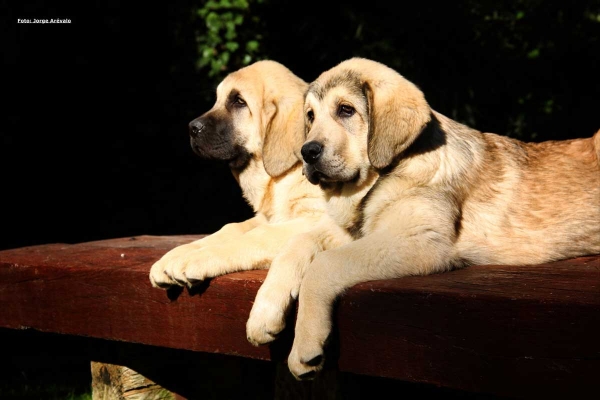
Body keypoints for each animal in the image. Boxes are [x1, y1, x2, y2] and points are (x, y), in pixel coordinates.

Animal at [150, 60, 328, 288]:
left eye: (239, 102)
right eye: (218, 100)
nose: (192, 128)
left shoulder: (315, 219)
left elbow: (254, 237)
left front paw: (195, 258)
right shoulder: (267, 218)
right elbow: (231, 229)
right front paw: (177, 254)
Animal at [248, 57, 600, 380]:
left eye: (346, 110)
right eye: (310, 116)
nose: (307, 152)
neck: (385, 174)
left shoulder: (420, 240)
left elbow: (325, 263)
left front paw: (305, 344)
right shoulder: (361, 230)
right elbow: (298, 243)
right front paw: (263, 313)